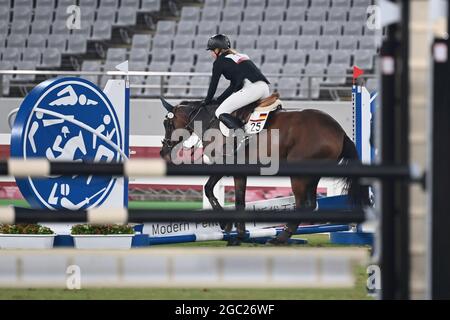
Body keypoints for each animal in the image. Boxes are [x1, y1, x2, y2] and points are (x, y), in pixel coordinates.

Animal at [159, 97, 370, 245]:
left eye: (167, 124)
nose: (163, 151)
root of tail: (338, 131)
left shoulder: (223, 164)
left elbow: (209, 189)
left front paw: (225, 224)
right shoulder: (240, 172)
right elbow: (240, 201)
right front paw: (239, 236)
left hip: (299, 175)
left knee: (302, 204)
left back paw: (280, 238)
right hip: (312, 175)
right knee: (310, 205)